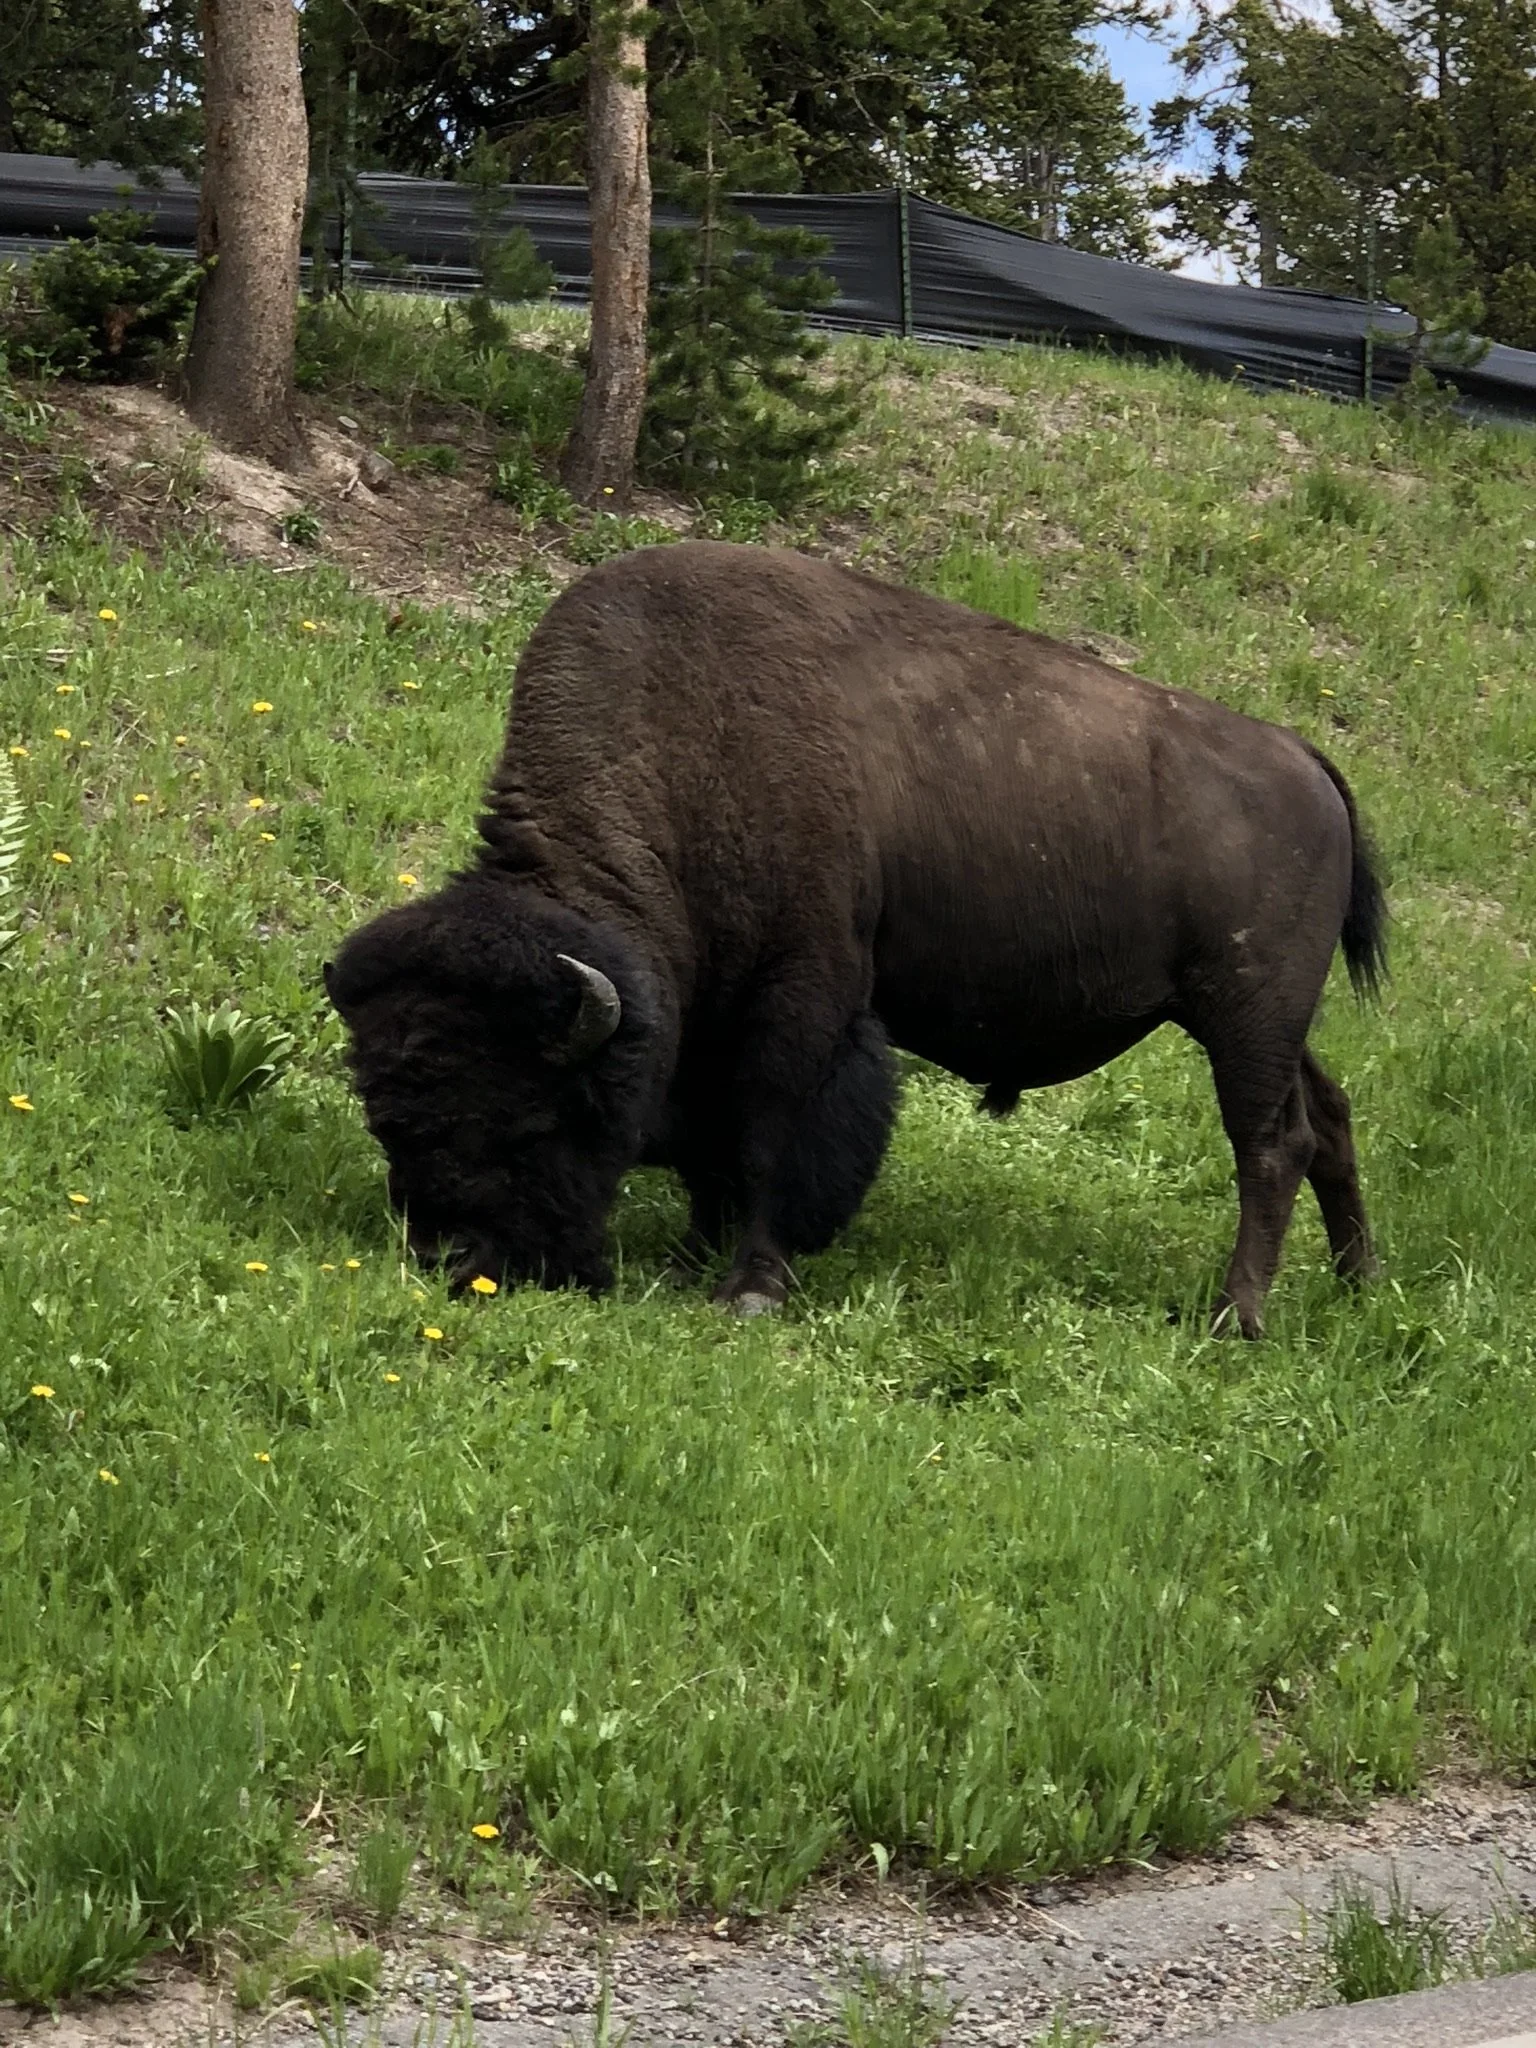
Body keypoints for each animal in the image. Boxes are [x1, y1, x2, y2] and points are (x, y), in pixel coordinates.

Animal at [326, 541, 1385, 1337]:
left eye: (529, 1120)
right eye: (385, 1118)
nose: (455, 1261)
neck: (682, 750)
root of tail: (1305, 759)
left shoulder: (802, 995)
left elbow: (770, 1133)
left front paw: (749, 1286)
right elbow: (715, 1145)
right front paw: (694, 1254)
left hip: (1246, 1015)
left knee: (1269, 1144)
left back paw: (1235, 1318)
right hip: (1255, 1022)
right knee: (1327, 1118)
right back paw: (1357, 1285)